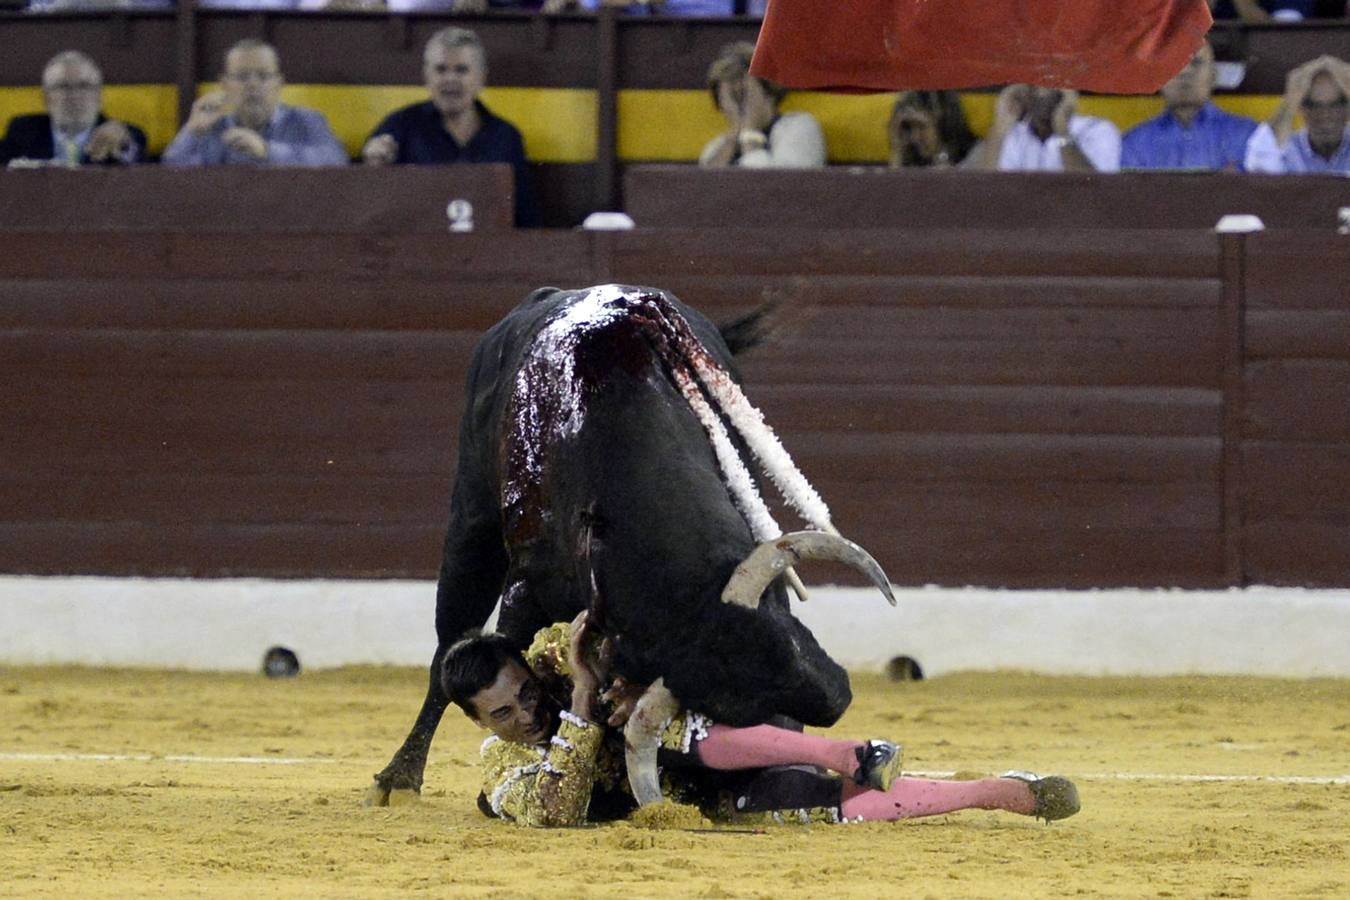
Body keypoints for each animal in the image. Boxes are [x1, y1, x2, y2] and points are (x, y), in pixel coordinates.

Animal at [375, 283, 891, 804]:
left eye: (796, 641)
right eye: (729, 712)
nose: (839, 698)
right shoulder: (525, 591)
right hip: (471, 519)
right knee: (449, 643)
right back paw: (398, 778)